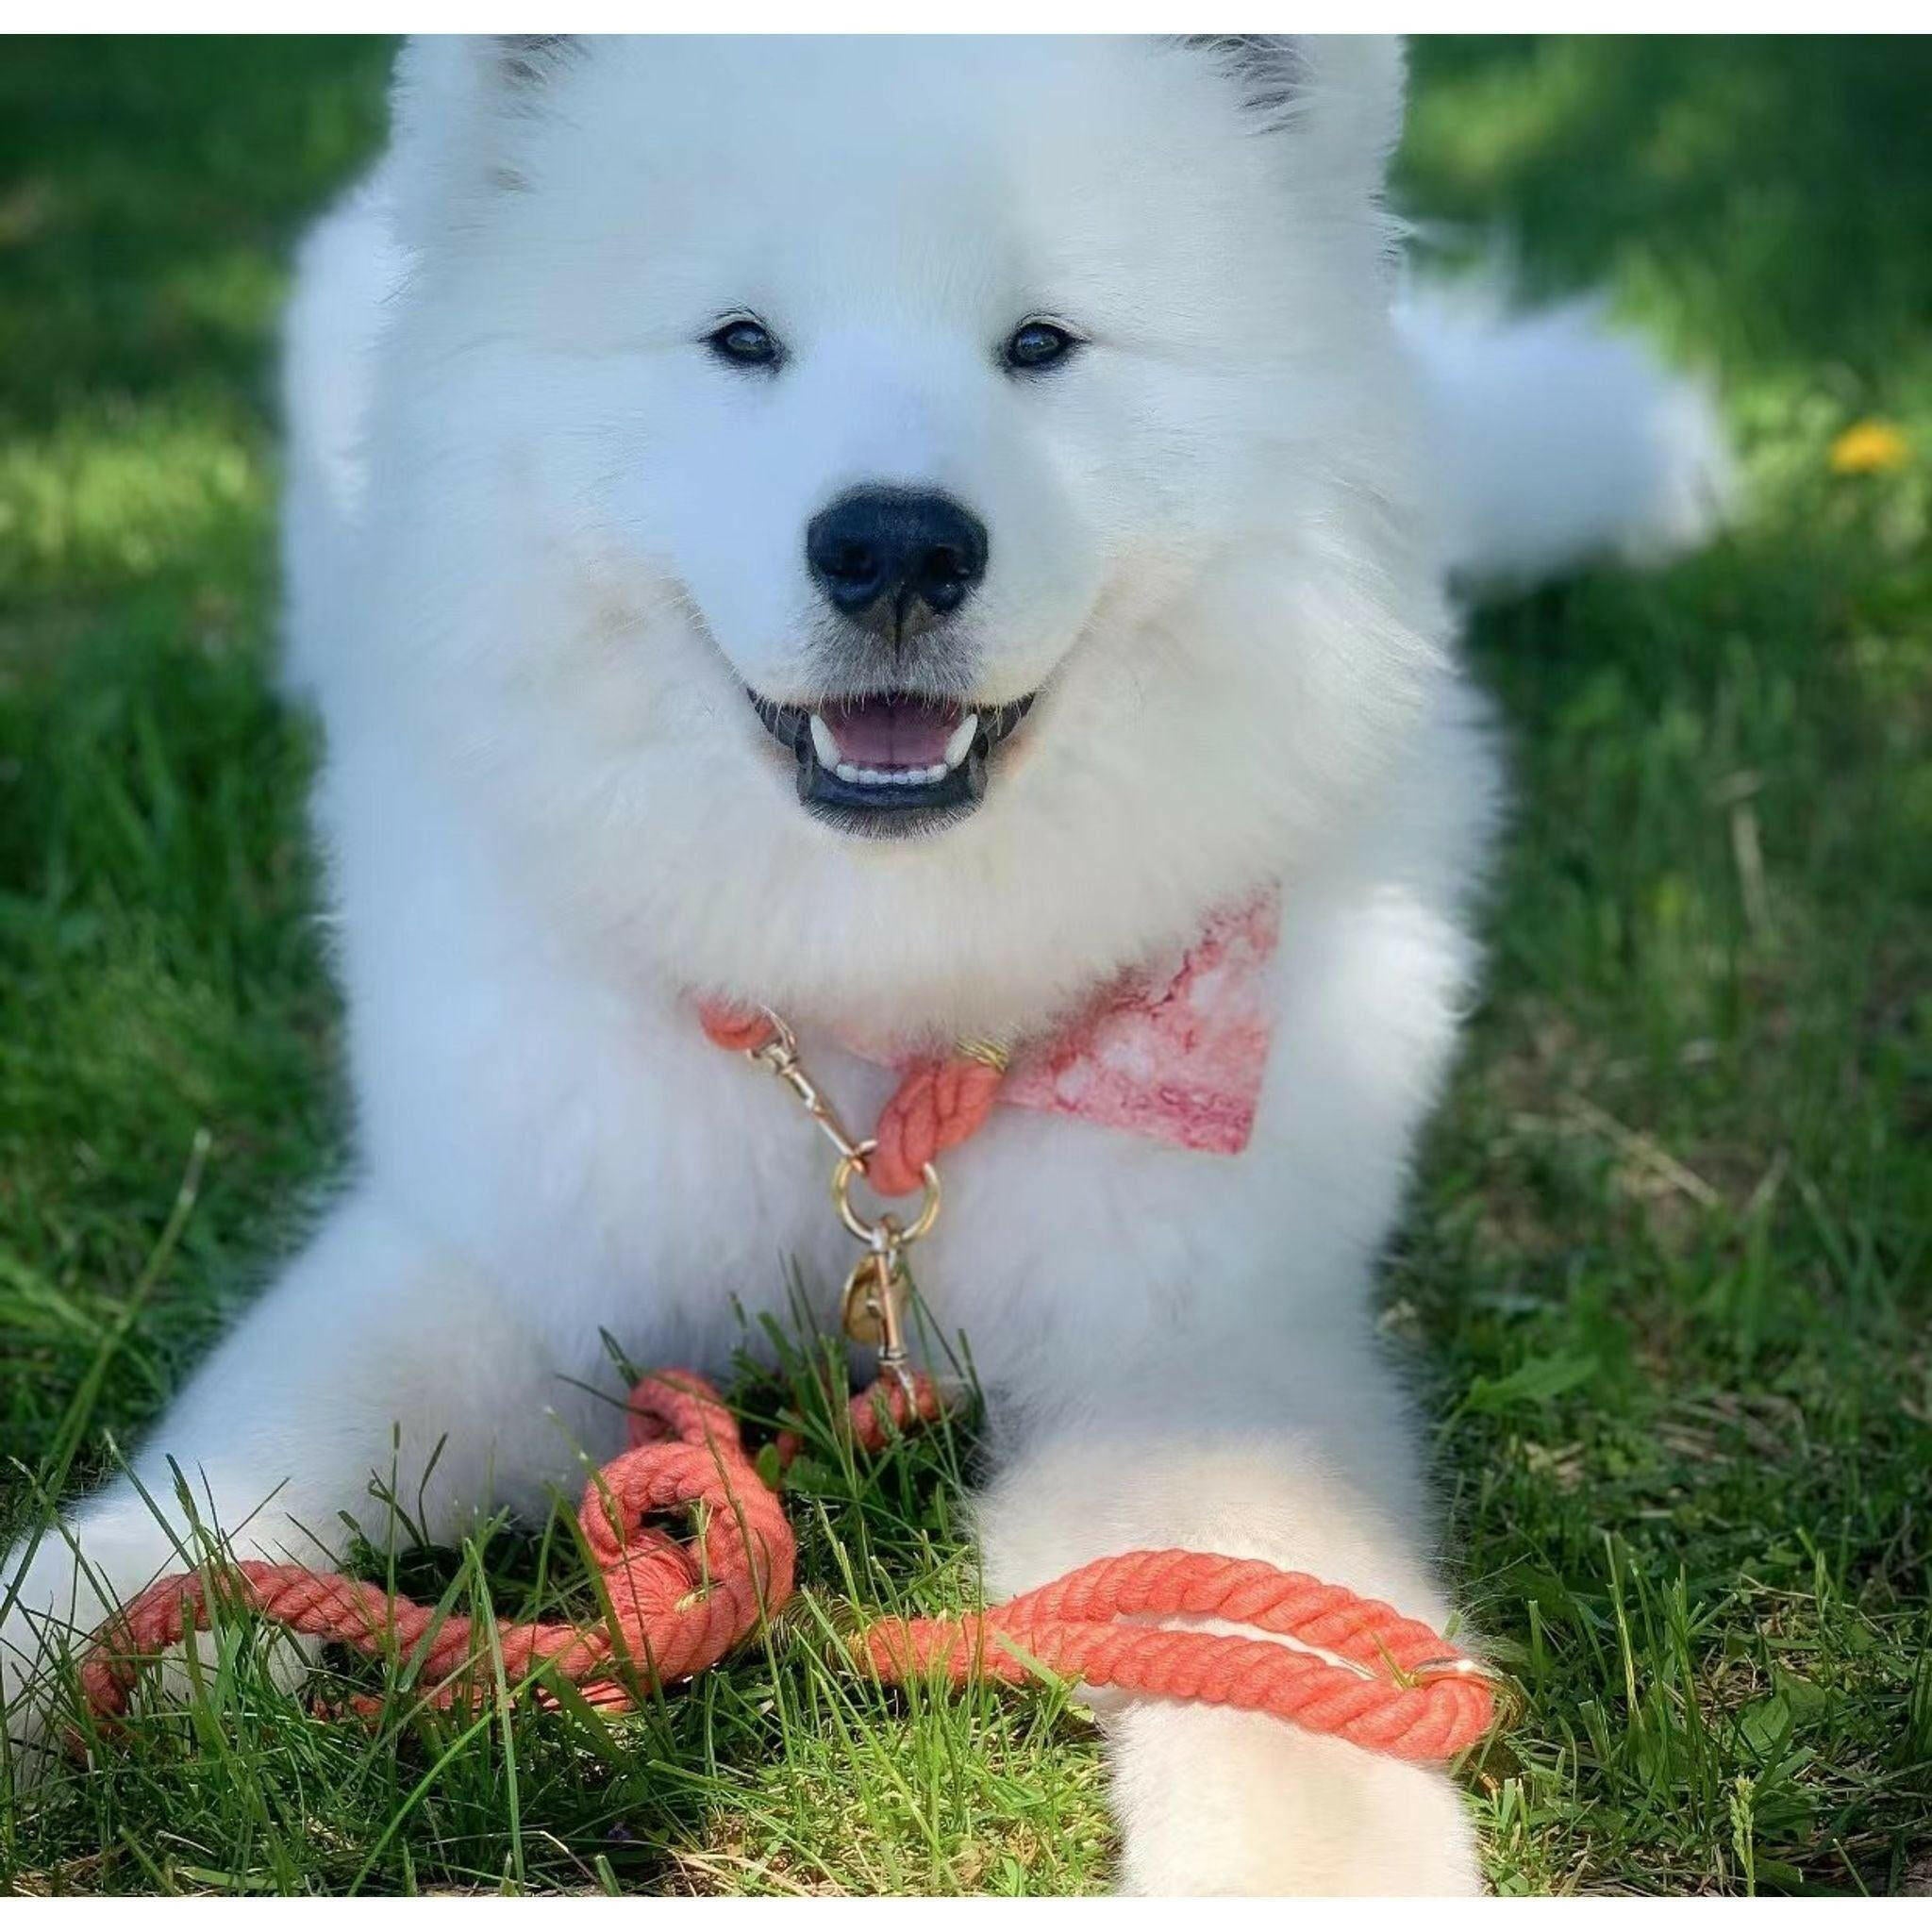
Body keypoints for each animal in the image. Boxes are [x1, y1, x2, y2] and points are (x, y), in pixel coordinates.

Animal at [8, 37, 1731, 1893]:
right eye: (740, 340)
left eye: (1040, 343)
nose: (895, 545)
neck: (863, 1019)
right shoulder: (504, 1255)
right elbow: (242, 1461)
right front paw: (66, 1635)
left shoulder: (1188, 1351)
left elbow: (1276, 1650)